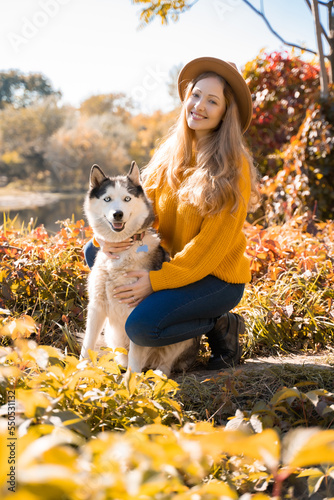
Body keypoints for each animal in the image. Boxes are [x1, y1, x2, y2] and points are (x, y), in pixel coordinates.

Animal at [81, 162, 201, 376]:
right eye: (107, 199)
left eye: (127, 198)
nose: (117, 214)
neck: (123, 250)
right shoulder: (96, 307)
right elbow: (87, 344)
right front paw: (79, 370)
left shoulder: (134, 311)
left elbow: (136, 355)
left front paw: (131, 380)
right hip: (111, 333)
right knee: (122, 354)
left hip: (184, 339)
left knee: (164, 363)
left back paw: (158, 374)